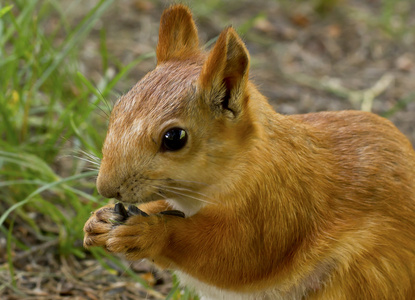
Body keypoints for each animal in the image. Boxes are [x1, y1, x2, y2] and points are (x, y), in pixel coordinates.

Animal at [83, 4, 415, 300]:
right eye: (117, 110)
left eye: (174, 138)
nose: (105, 188)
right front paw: (99, 220)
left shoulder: (274, 209)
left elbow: (235, 255)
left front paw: (148, 232)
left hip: (365, 274)